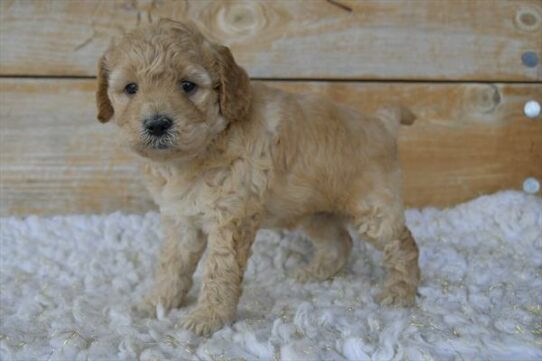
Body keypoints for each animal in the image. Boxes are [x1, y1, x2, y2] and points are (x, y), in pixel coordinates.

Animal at [96, 19, 420, 334]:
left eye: (188, 86)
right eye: (131, 88)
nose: (157, 124)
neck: (198, 153)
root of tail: (381, 122)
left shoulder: (231, 219)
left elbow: (219, 271)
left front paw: (208, 317)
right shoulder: (181, 219)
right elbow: (172, 264)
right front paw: (158, 302)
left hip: (373, 209)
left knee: (403, 244)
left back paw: (401, 292)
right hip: (315, 212)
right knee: (340, 242)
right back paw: (312, 273)